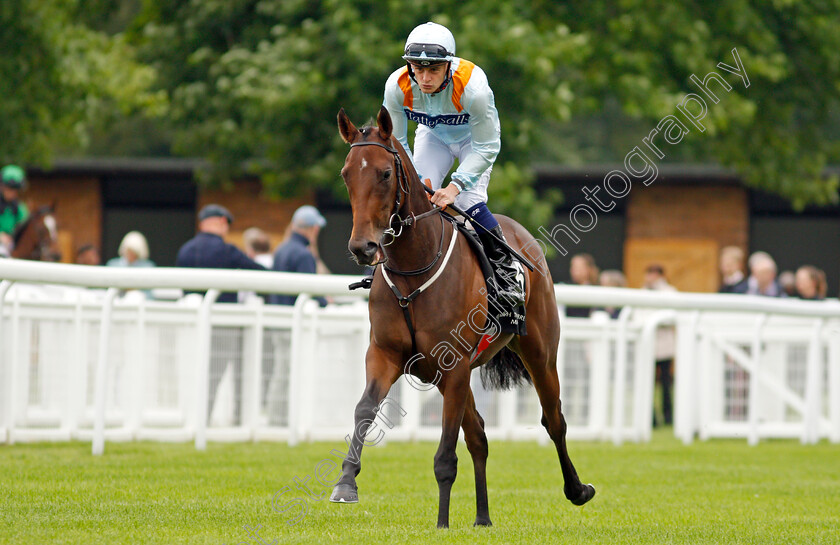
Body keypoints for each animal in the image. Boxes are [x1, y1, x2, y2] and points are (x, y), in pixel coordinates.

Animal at [332, 106, 592, 528]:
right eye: (346, 173)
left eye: (385, 174)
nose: (363, 247)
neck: (414, 268)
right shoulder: (386, 355)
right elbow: (364, 410)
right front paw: (345, 483)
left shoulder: (453, 366)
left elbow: (445, 454)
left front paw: (441, 522)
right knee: (480, 435)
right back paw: (483, 517)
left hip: (539, 353)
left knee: (554, 420)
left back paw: (577, 489)